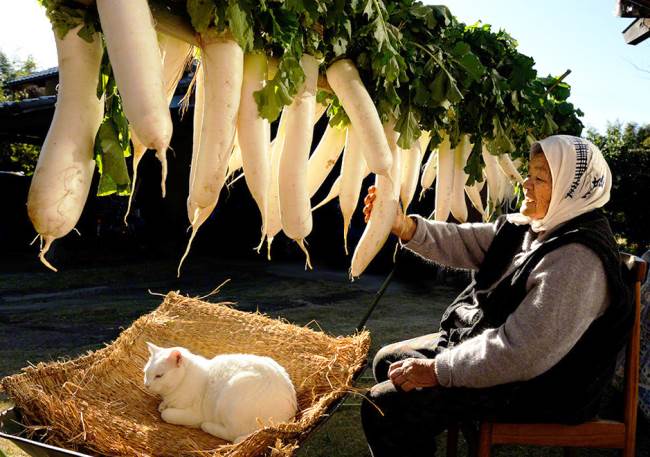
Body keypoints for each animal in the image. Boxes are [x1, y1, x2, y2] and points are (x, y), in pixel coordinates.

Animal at [143, 342, 298, 442]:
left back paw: (207, 426)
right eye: (146, 372)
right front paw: (163, 404)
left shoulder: (194, 414)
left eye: (159, 376)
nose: (147, 385)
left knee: (232, 436)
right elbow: (163, 406)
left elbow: (166, 414)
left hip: (230, 395)